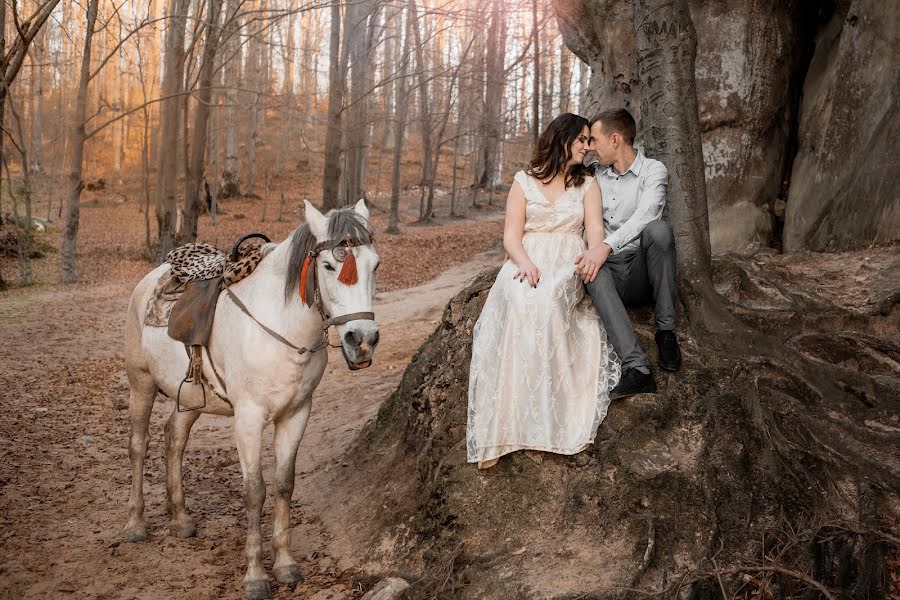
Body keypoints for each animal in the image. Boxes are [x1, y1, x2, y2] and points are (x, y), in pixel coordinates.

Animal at [120, 199, 380, 596]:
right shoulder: (249, 417)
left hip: (192, 395)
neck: (281, 328)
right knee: (139, 445)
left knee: (174, 438)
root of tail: (152, 277)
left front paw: (286, 564)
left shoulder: (296, 413)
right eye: (329, 265)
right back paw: (135, 524)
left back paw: (180, 518)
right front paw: (256, 575)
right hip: (141, 383)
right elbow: (254, 491)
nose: (362, 340)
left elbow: (284, 485)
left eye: (375, 264)